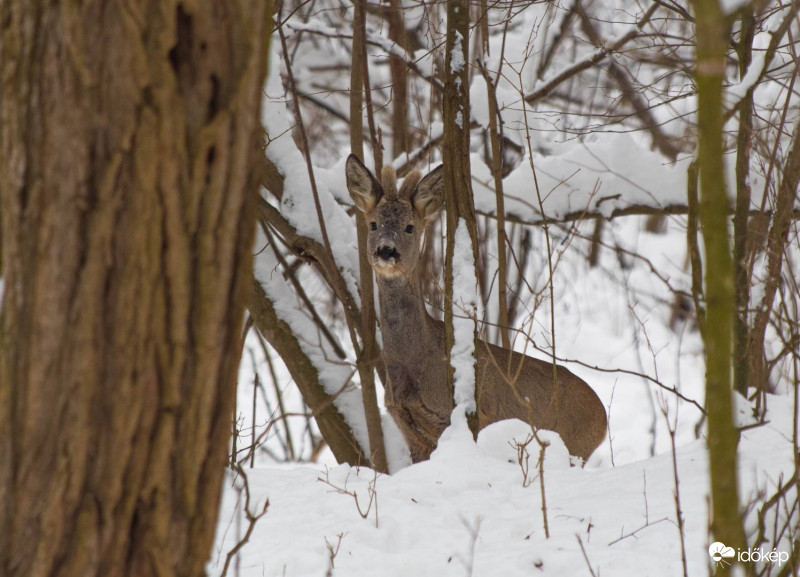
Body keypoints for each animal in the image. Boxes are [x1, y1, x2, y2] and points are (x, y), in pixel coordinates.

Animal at [346, 155, 608, 462]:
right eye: (373, 224)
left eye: (410, 227)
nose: (386, 250)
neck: (416, 362)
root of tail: (603, 418)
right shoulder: (411, 433)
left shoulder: (469, 417)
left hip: (575, 445)